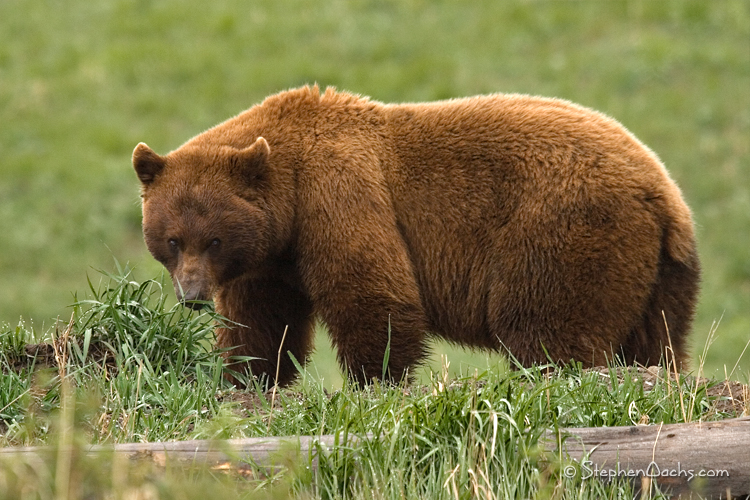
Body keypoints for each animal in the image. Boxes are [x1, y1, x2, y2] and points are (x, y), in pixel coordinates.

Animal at [132, 86, 704, 386]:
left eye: (212, 240)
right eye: (172, 240)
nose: (192, 295)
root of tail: (662, 193)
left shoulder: (339, 198)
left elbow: (372, 295)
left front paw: (378, 378)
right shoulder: (268, 262)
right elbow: (260, 322)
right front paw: (248, 377)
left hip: (562, 233)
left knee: (548, 328)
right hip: (656, 273)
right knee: (657, 339)